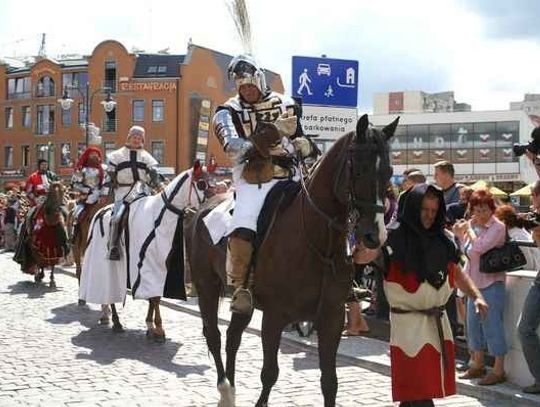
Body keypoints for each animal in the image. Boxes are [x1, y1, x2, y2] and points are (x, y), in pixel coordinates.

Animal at [80, 163, 211, 342]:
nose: (213, 202)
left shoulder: (162, 267)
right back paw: (116, 321)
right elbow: (154, 298)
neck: (160, 216)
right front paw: (156, 328)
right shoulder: (147, 266)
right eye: (201, 183)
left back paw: (106, 316)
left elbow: (155, 298)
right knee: (110, 293)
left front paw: (153, 328)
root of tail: (99, 213)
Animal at [188, 113, 398, 406]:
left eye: (388, 172)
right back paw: (225, 390)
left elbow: (330, 382)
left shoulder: (331, 318)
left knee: (232, 338)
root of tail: (199, 210)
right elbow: (269, 374)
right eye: (358, 169)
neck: (317, 243)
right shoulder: (274, 316)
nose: (374, 236)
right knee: (215, 336)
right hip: (207, 286)